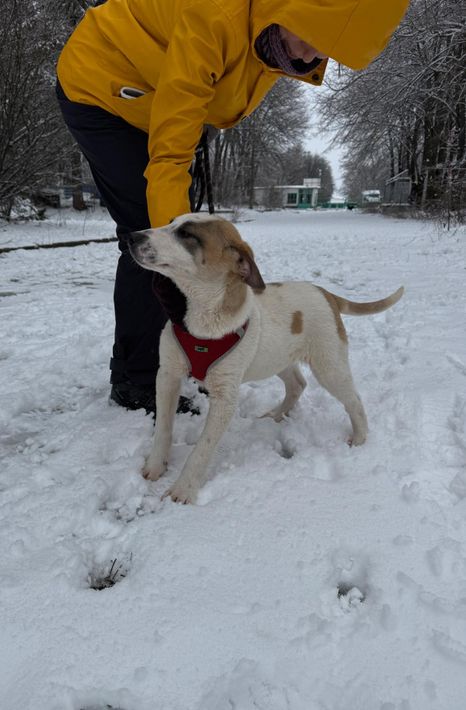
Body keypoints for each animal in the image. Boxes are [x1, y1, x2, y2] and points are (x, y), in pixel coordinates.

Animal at [128, 214, 403, 504]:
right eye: (171, 222)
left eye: (187, 235)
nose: (132, 237)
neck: (203, 315)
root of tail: (325, 293)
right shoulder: (167, 375)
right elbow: (163, 429)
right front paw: (155, 467)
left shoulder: (225, 396)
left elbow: (202, 449)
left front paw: (183, 490)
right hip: (277, 358)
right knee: (297, 384)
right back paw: (276, 415)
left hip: (329, 365)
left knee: (353, 400)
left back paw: (360, 438)